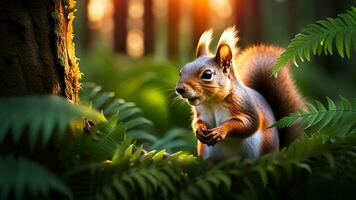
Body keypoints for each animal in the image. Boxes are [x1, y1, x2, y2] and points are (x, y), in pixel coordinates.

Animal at [175, 27, 304, 160]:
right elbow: (197, 121)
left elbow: (249, 124)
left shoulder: (244, 104)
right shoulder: (201, 112)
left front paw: (220, 130)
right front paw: (199, 129)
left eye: (207, 74)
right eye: (181, 71)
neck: (212, 102)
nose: (179, 89)